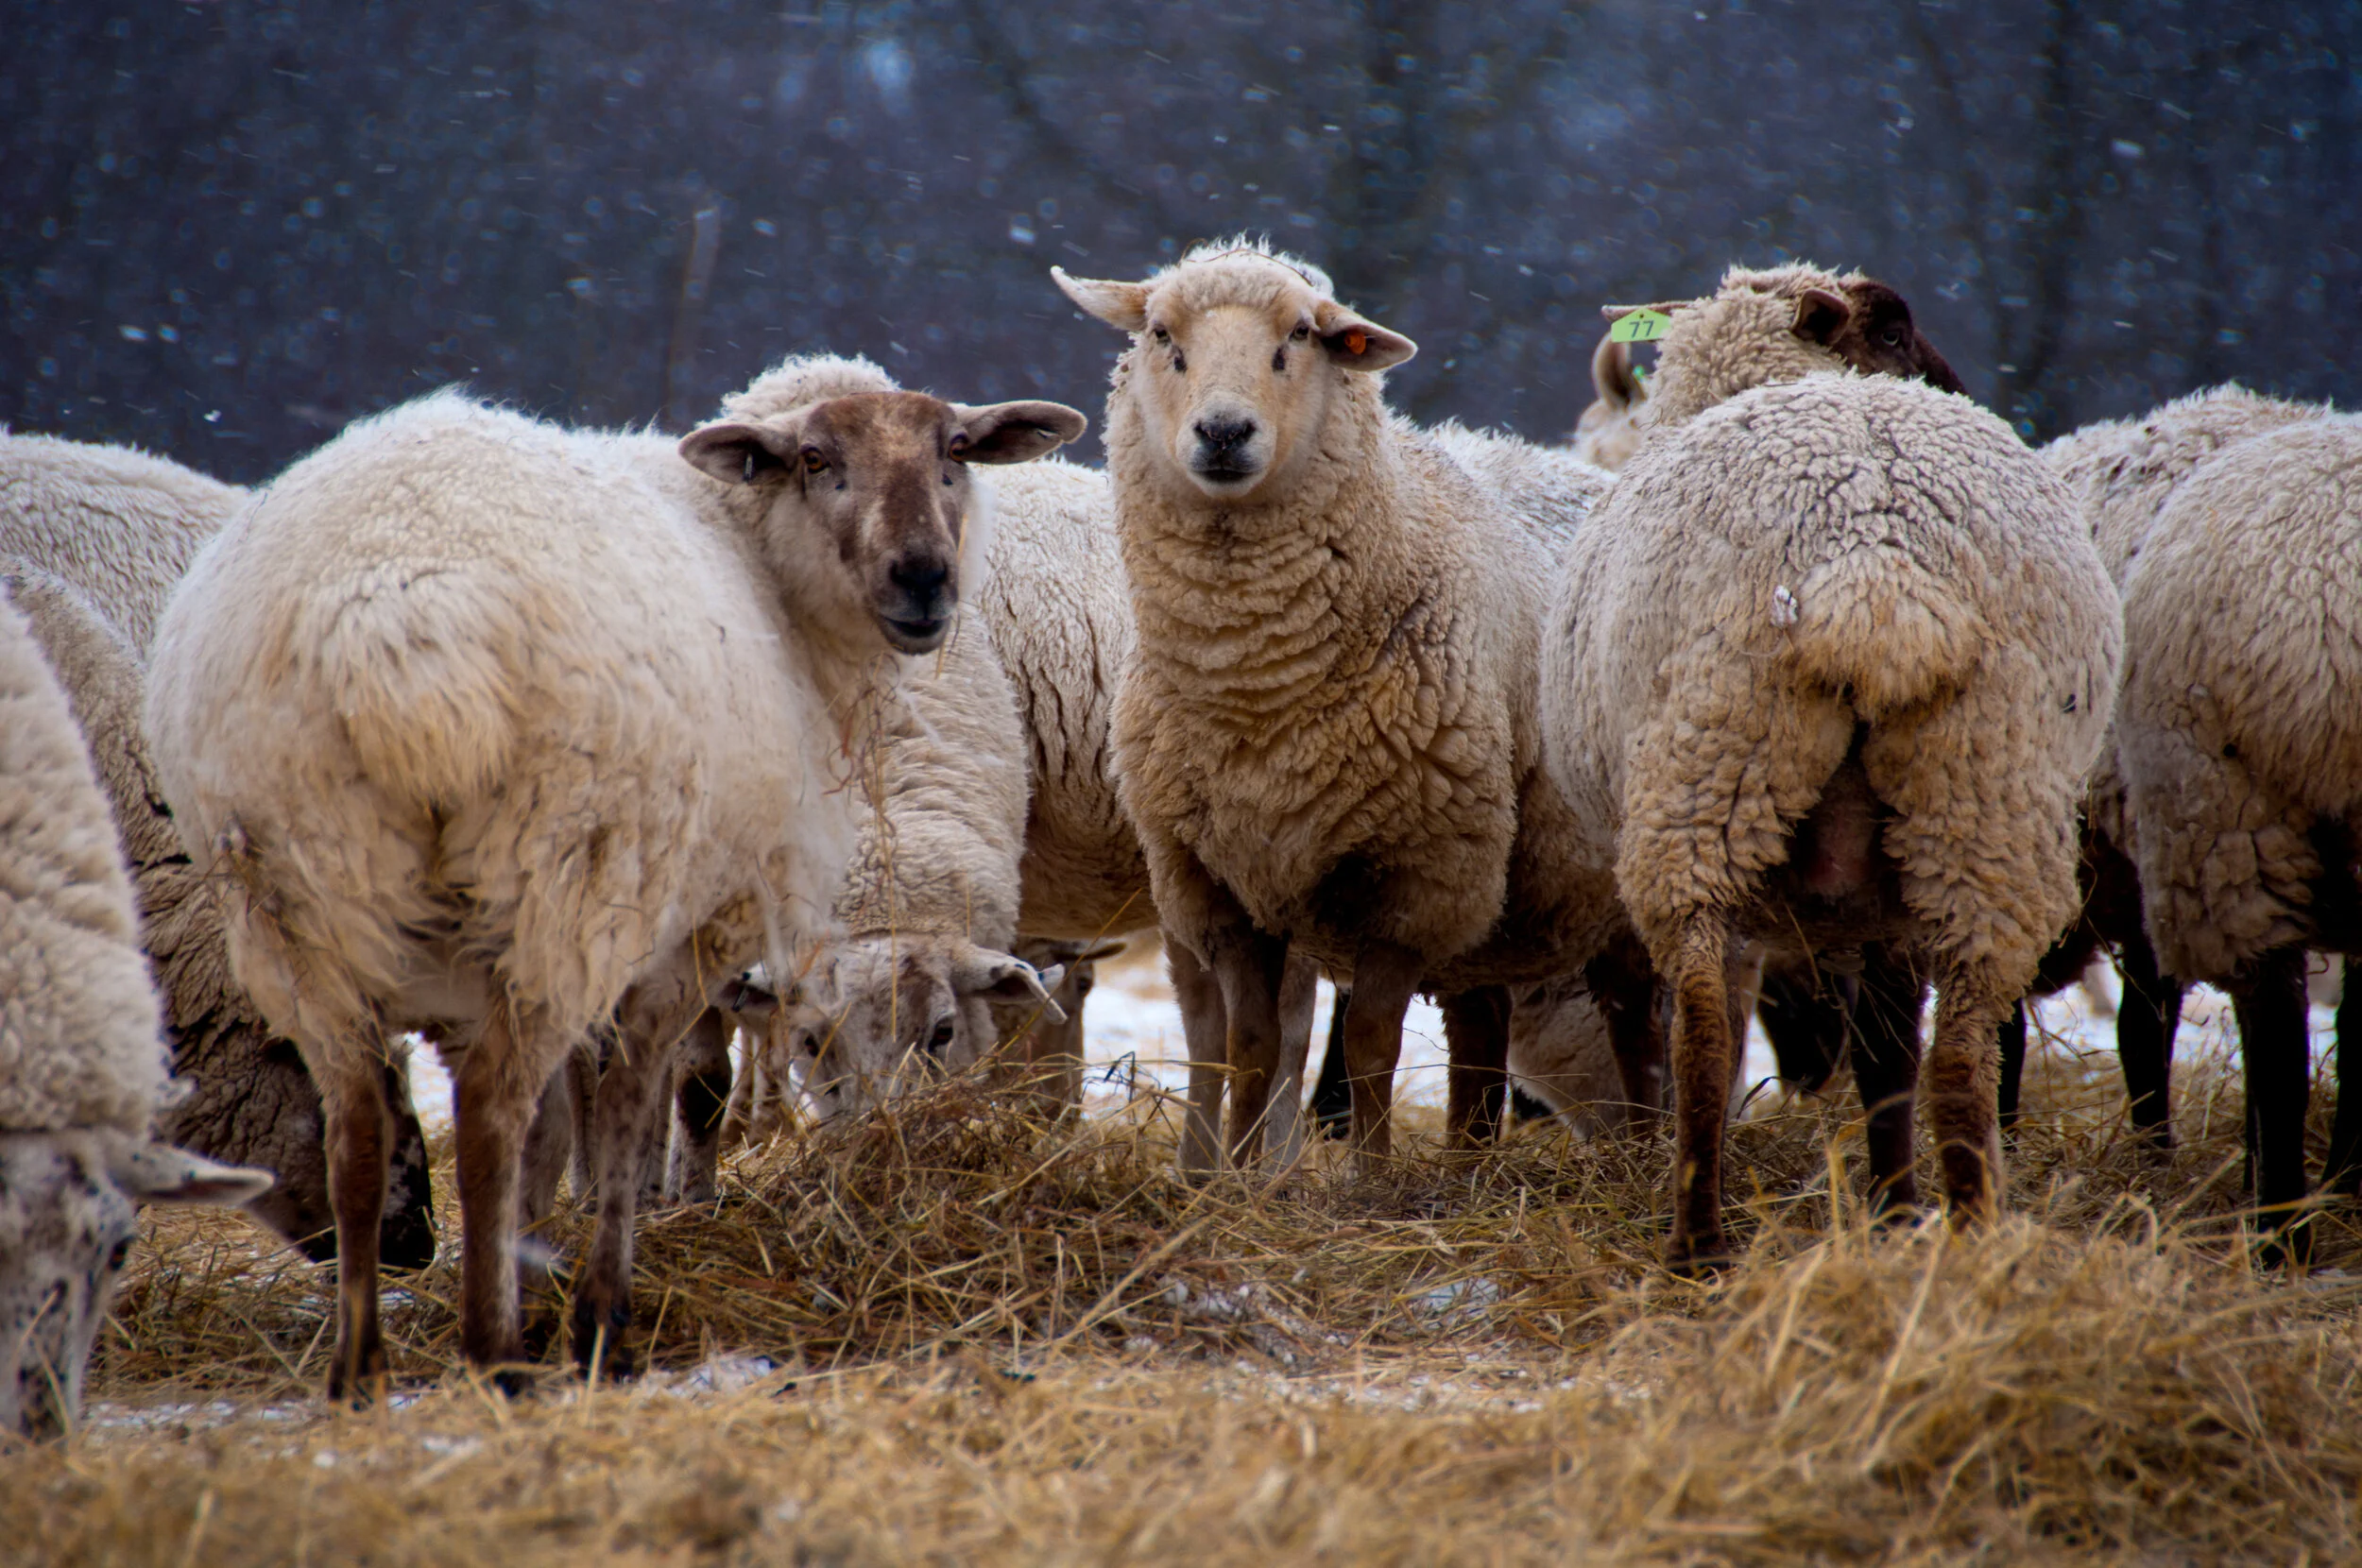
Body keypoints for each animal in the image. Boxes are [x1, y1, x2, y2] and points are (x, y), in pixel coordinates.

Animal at [144, 357, 1085, 1393]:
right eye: (813, 460)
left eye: (954, 451)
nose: (923, 578)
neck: (763, 563)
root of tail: (391, 617)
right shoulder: (694, 926)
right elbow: (636, 1099)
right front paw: (600, 1310)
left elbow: (578, 1117)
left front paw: (553, 1268)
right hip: (561, 873)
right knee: (491, 1112)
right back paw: (497, 1353)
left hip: (296, 887)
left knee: (358, 1123)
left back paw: (362, 1371)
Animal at [1054, 240, 1647, 1172]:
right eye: (1161, 334)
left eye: (1301, 334)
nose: (1223, 432)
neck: (1255, 695)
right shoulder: (1214, 881)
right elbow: (1250, 1044)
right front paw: (1235, 1180)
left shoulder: (1418, 872)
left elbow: (1370, 1042)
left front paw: (1369, 1180)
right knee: (1485, 1018)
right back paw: (1468, 1164)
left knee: (1642, 1017)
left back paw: (1655, 1147)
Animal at [1543, 262, 2121, 1269]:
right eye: (1892, 335)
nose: (1966, 390)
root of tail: (1872, 547)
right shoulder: (1884, 906)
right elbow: (1888, 1058)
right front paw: (1893, 1213)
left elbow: (1873, 1051)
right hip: (1978, 790)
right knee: (1961, 1051)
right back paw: (1967, 1240)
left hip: (1710, 779)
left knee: (1704, 1029)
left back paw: (1698, 1244)